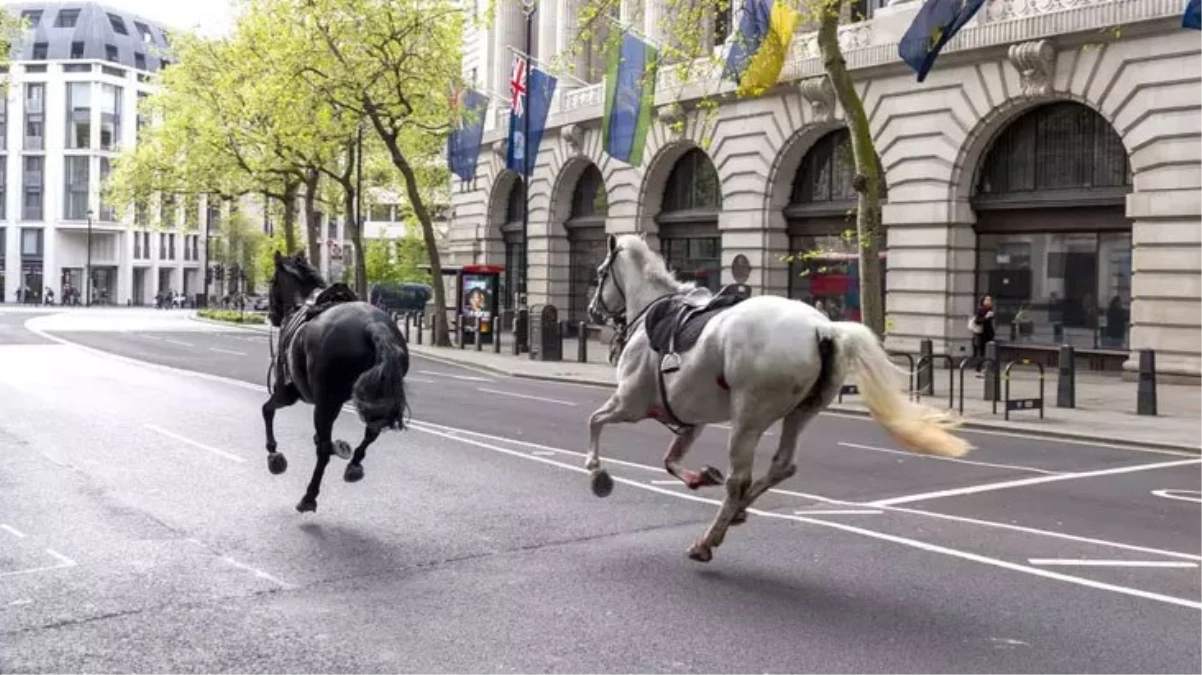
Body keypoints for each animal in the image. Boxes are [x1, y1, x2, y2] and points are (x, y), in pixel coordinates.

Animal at [263, 251, 413, 509]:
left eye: (272, 281)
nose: (271, 315)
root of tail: (374, 325)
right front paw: (341, 448)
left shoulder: (287, 392)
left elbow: (267, 410)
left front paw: (274, 455)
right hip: (372, 395)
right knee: (371, 431)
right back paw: (353, 464)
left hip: (324, 402)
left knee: (323, 450)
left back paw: (309, 497)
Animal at [586, 234, 971, 559]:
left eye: (600, 273)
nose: (591, 312)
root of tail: (825, 327)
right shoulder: (690, 418)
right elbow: (670, 460)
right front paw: (699, 477)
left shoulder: (631, 403)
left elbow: (595, 421)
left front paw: (596, 472)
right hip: (800, 412)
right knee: (781, 466)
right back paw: (737, 512)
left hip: (748, 417)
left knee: (739, 479)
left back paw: (708, 540)